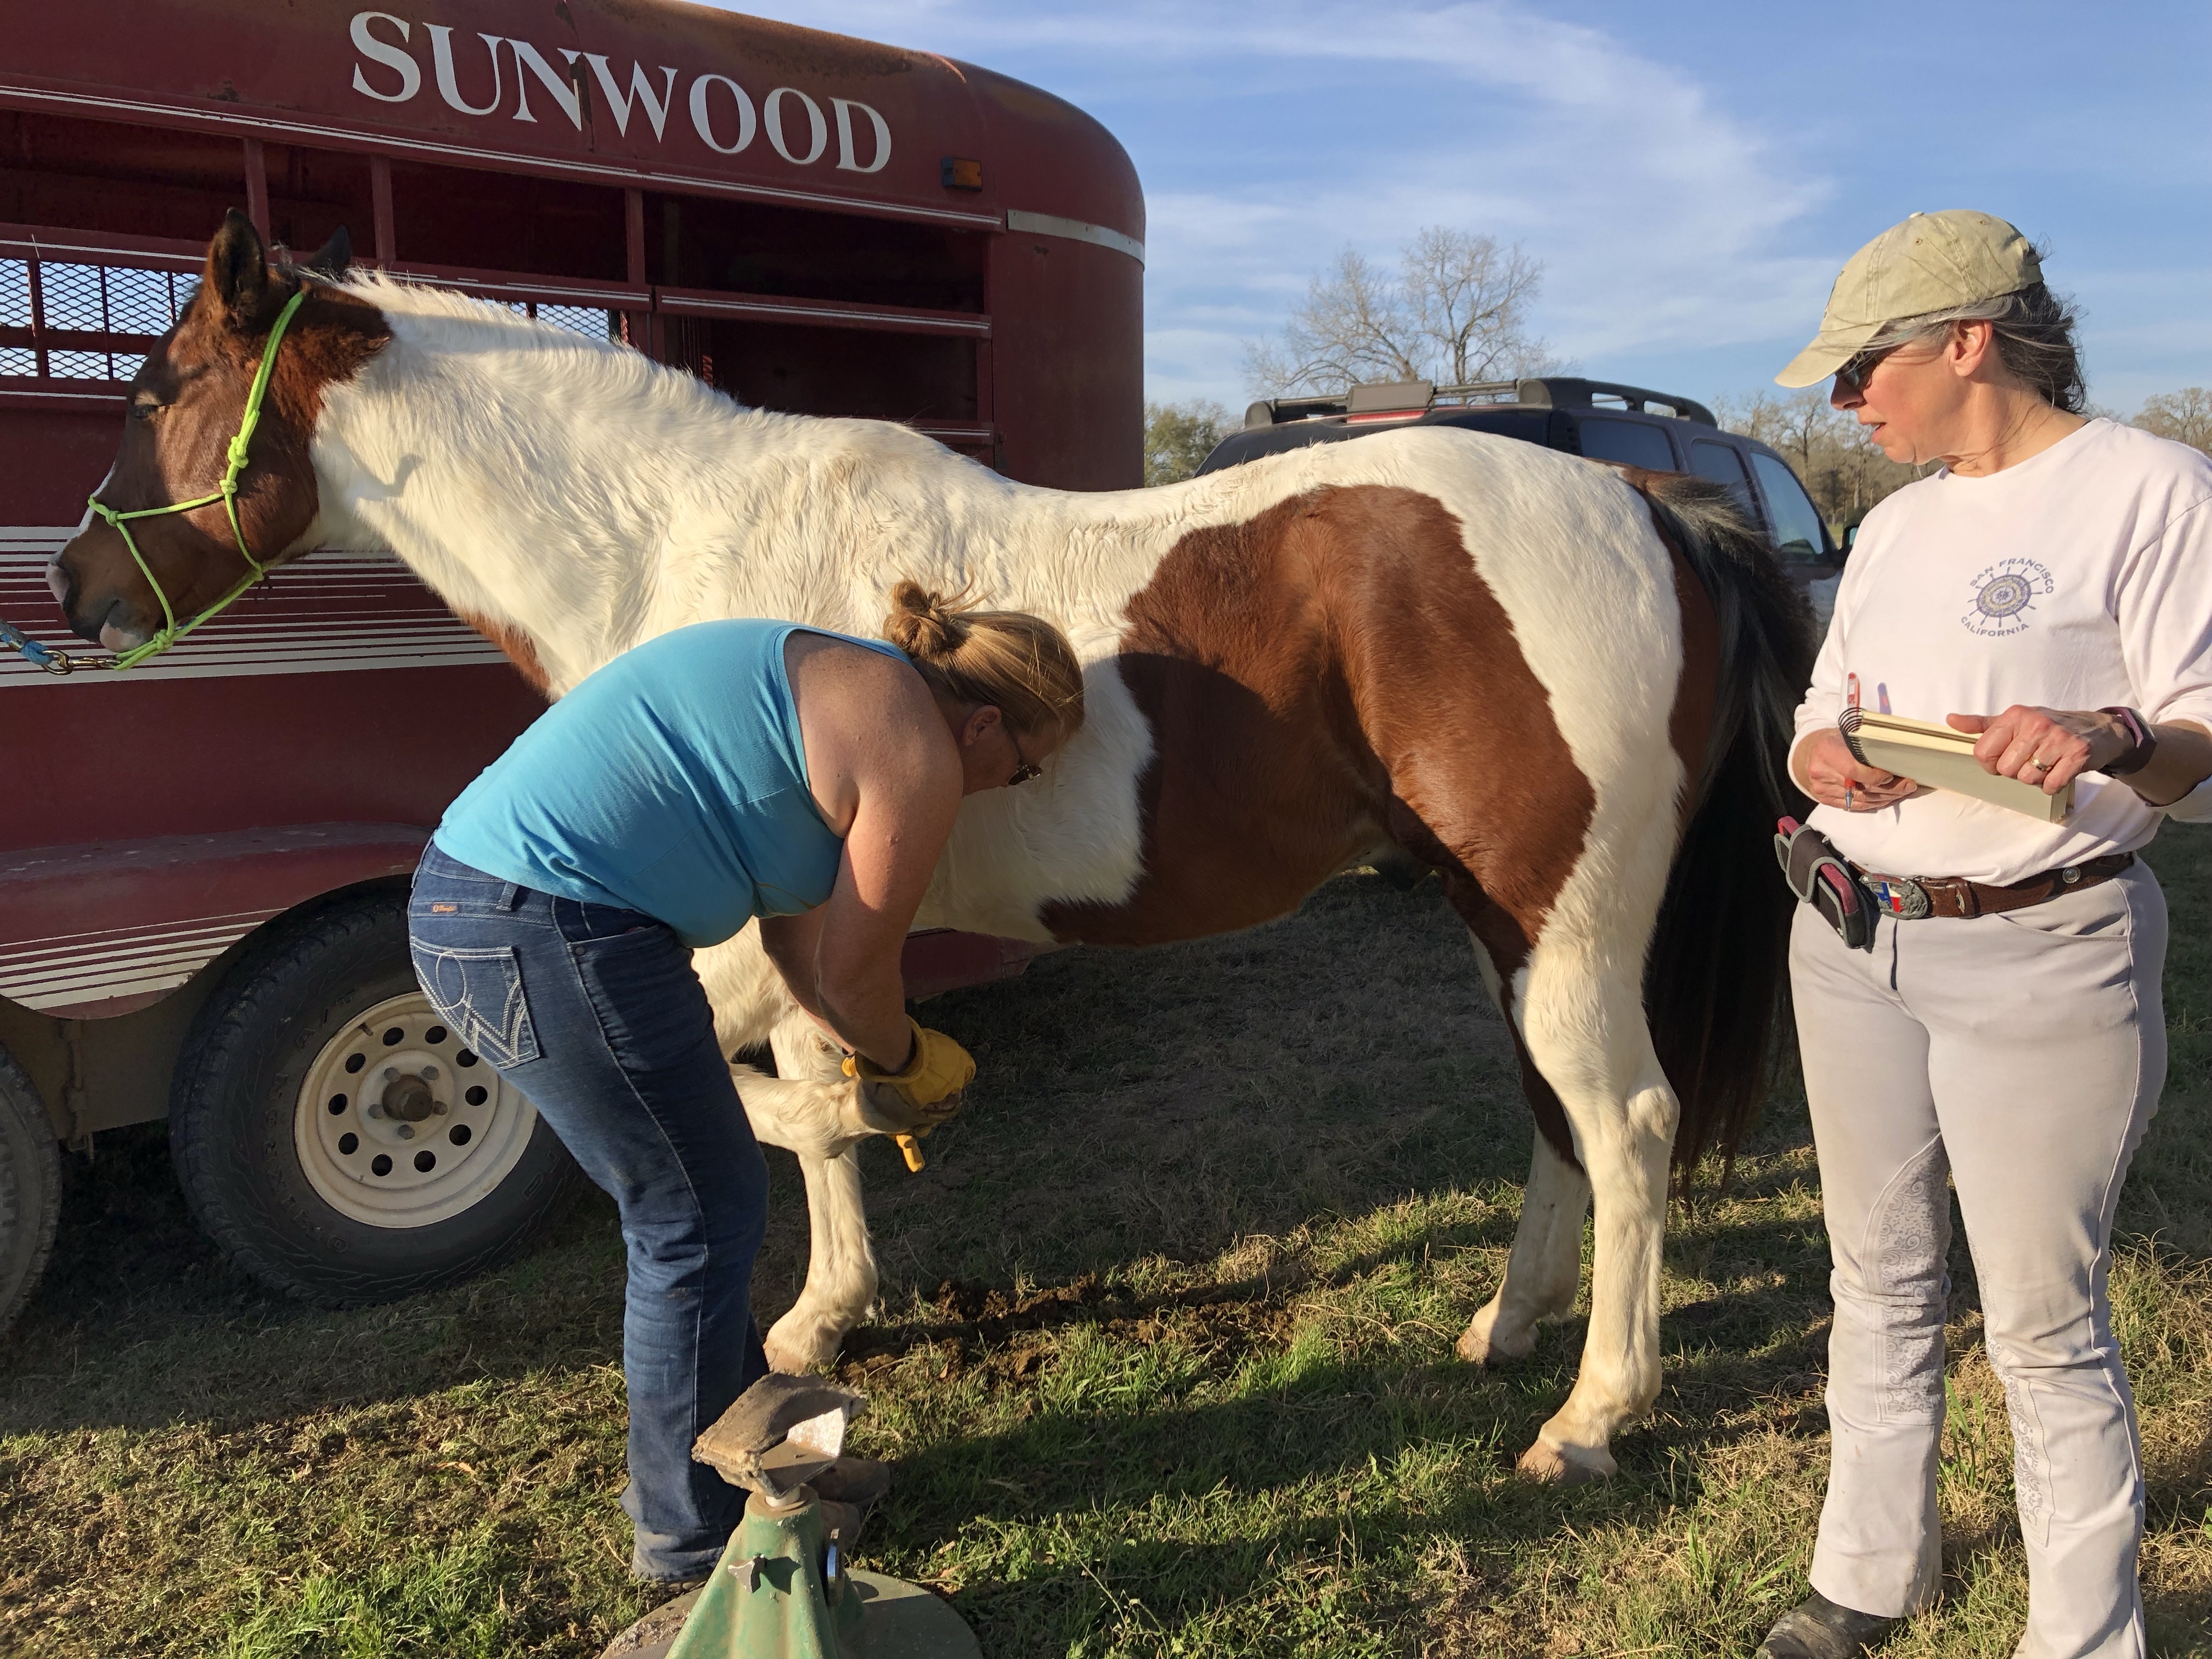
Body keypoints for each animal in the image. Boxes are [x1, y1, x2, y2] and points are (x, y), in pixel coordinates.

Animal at [51, 212, 1812, 1483]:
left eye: (150, 392)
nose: (75, 591)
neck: (669, 542)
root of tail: (1657, 514)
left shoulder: (737, 941)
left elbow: (764, 1108)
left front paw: (831, 1253)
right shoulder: (801, 933)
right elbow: (816, 1116)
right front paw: (829, 1312)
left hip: (1560, 926)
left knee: (1628, 1124)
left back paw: (1590, 1415)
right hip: (1500, 920)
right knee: (1558, 1118)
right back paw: (1507, 1332)